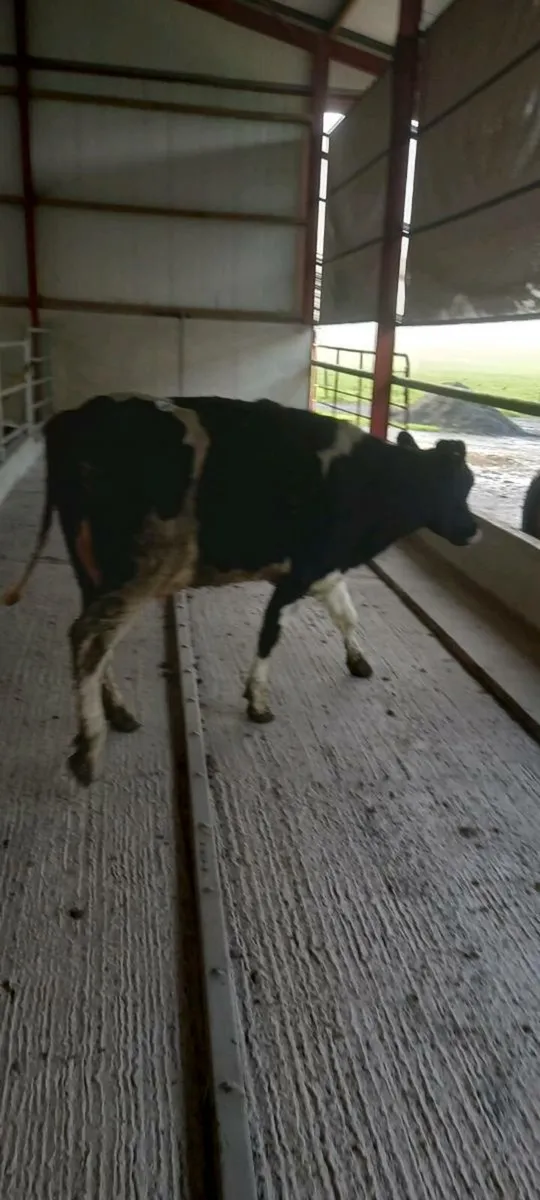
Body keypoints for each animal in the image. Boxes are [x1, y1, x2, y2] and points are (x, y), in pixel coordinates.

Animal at [1, 395, 480, 786]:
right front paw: (258, 701)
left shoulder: (324, 568)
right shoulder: (301, 571)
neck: (371, 483)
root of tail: (74, 417)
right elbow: (270, 634)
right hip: (140, 572)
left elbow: (346, 615)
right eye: (460, 486)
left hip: (93, 570)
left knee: (97, 645)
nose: (474, 530)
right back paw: (89, 748)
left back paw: (118, 713)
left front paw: (358, 661)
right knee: (87, 637)